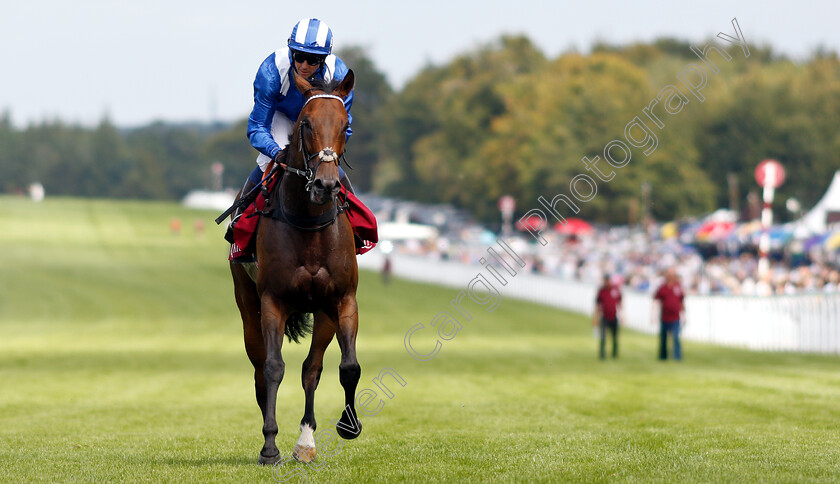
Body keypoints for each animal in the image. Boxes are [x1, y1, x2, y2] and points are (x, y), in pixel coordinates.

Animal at [230, 69, 360, 466]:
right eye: (306, 124)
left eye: (346, 124)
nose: (326, 184)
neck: (309, 225)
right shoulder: (273, 300)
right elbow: (273, 368)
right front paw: (269, 446)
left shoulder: (342, 299)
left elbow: (345, 367)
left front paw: (347, 426)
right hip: (247, 303)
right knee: (260, 370)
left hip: (323, 312)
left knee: (311, 369)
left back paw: (306, 442)